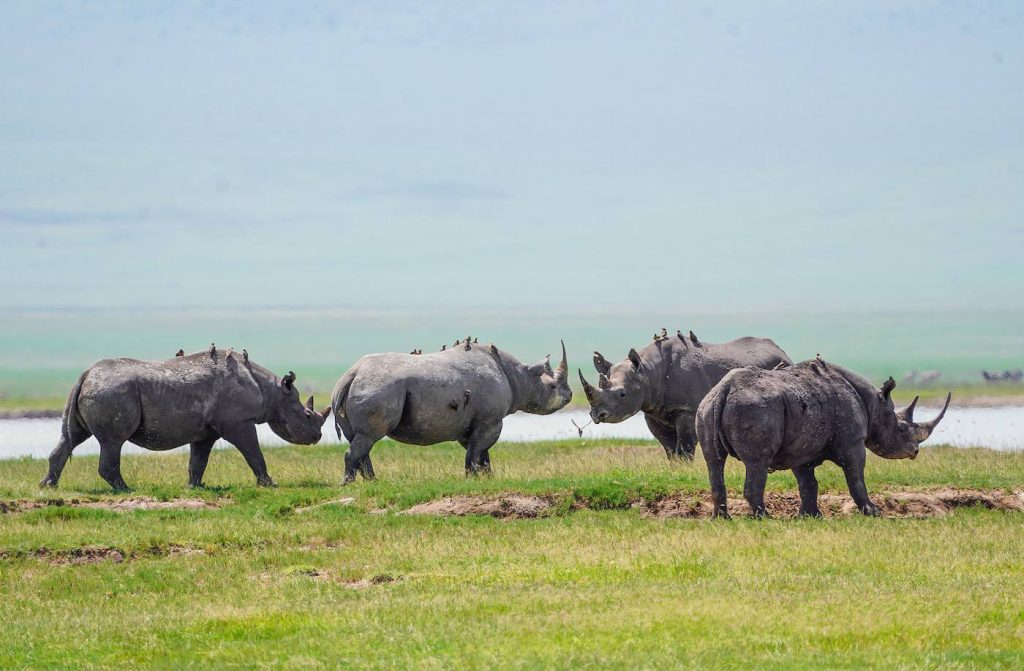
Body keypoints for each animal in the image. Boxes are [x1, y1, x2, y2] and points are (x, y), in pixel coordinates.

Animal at [40, 346, 330, 491]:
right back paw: (126, 490)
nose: (317, 437)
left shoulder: (206, 430)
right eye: (307, 415)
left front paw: (195, 487)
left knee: (72, 437)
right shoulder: (238, 423)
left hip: (94, 390)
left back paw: (48, 486)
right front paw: (270, 484)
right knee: (113, 442)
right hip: (112, 392)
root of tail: (86, 374)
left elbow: (198, 460)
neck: (272, 392)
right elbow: (253, 453)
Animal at [331, 339, 572, 483]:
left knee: (361, 440)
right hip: (379, 388)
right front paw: (471, 479)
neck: (520, 376)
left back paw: (373, 482)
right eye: (552, 387)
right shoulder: (490, 420)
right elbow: (477, 451)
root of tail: (351, 374)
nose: (569, 395)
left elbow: (480, 452)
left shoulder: (471, 422)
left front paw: (486, 478)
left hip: (360, 387)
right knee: (368, 437)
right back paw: (349, 484)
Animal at [578, 331, 791, 459]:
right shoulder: (653, 411)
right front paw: (675, 468)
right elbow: (669, 447)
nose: (597, 415)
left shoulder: (687, 409)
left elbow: (685, 446)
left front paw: (685, 467)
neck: (648, 372)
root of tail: (782, 351)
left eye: (622, 394)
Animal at [695, 358, 951, 518]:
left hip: (707, 406)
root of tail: (725, 389)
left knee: (714, 461)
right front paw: (874, 512)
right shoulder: (853, 442)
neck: (876, 406)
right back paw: (766, 518)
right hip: (755, 409)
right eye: (901, 430)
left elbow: (808, 482)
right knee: (757, 462)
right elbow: (856, 477)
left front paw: (810, 516)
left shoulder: (801, 443)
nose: (915, 451)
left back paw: (722, 519)